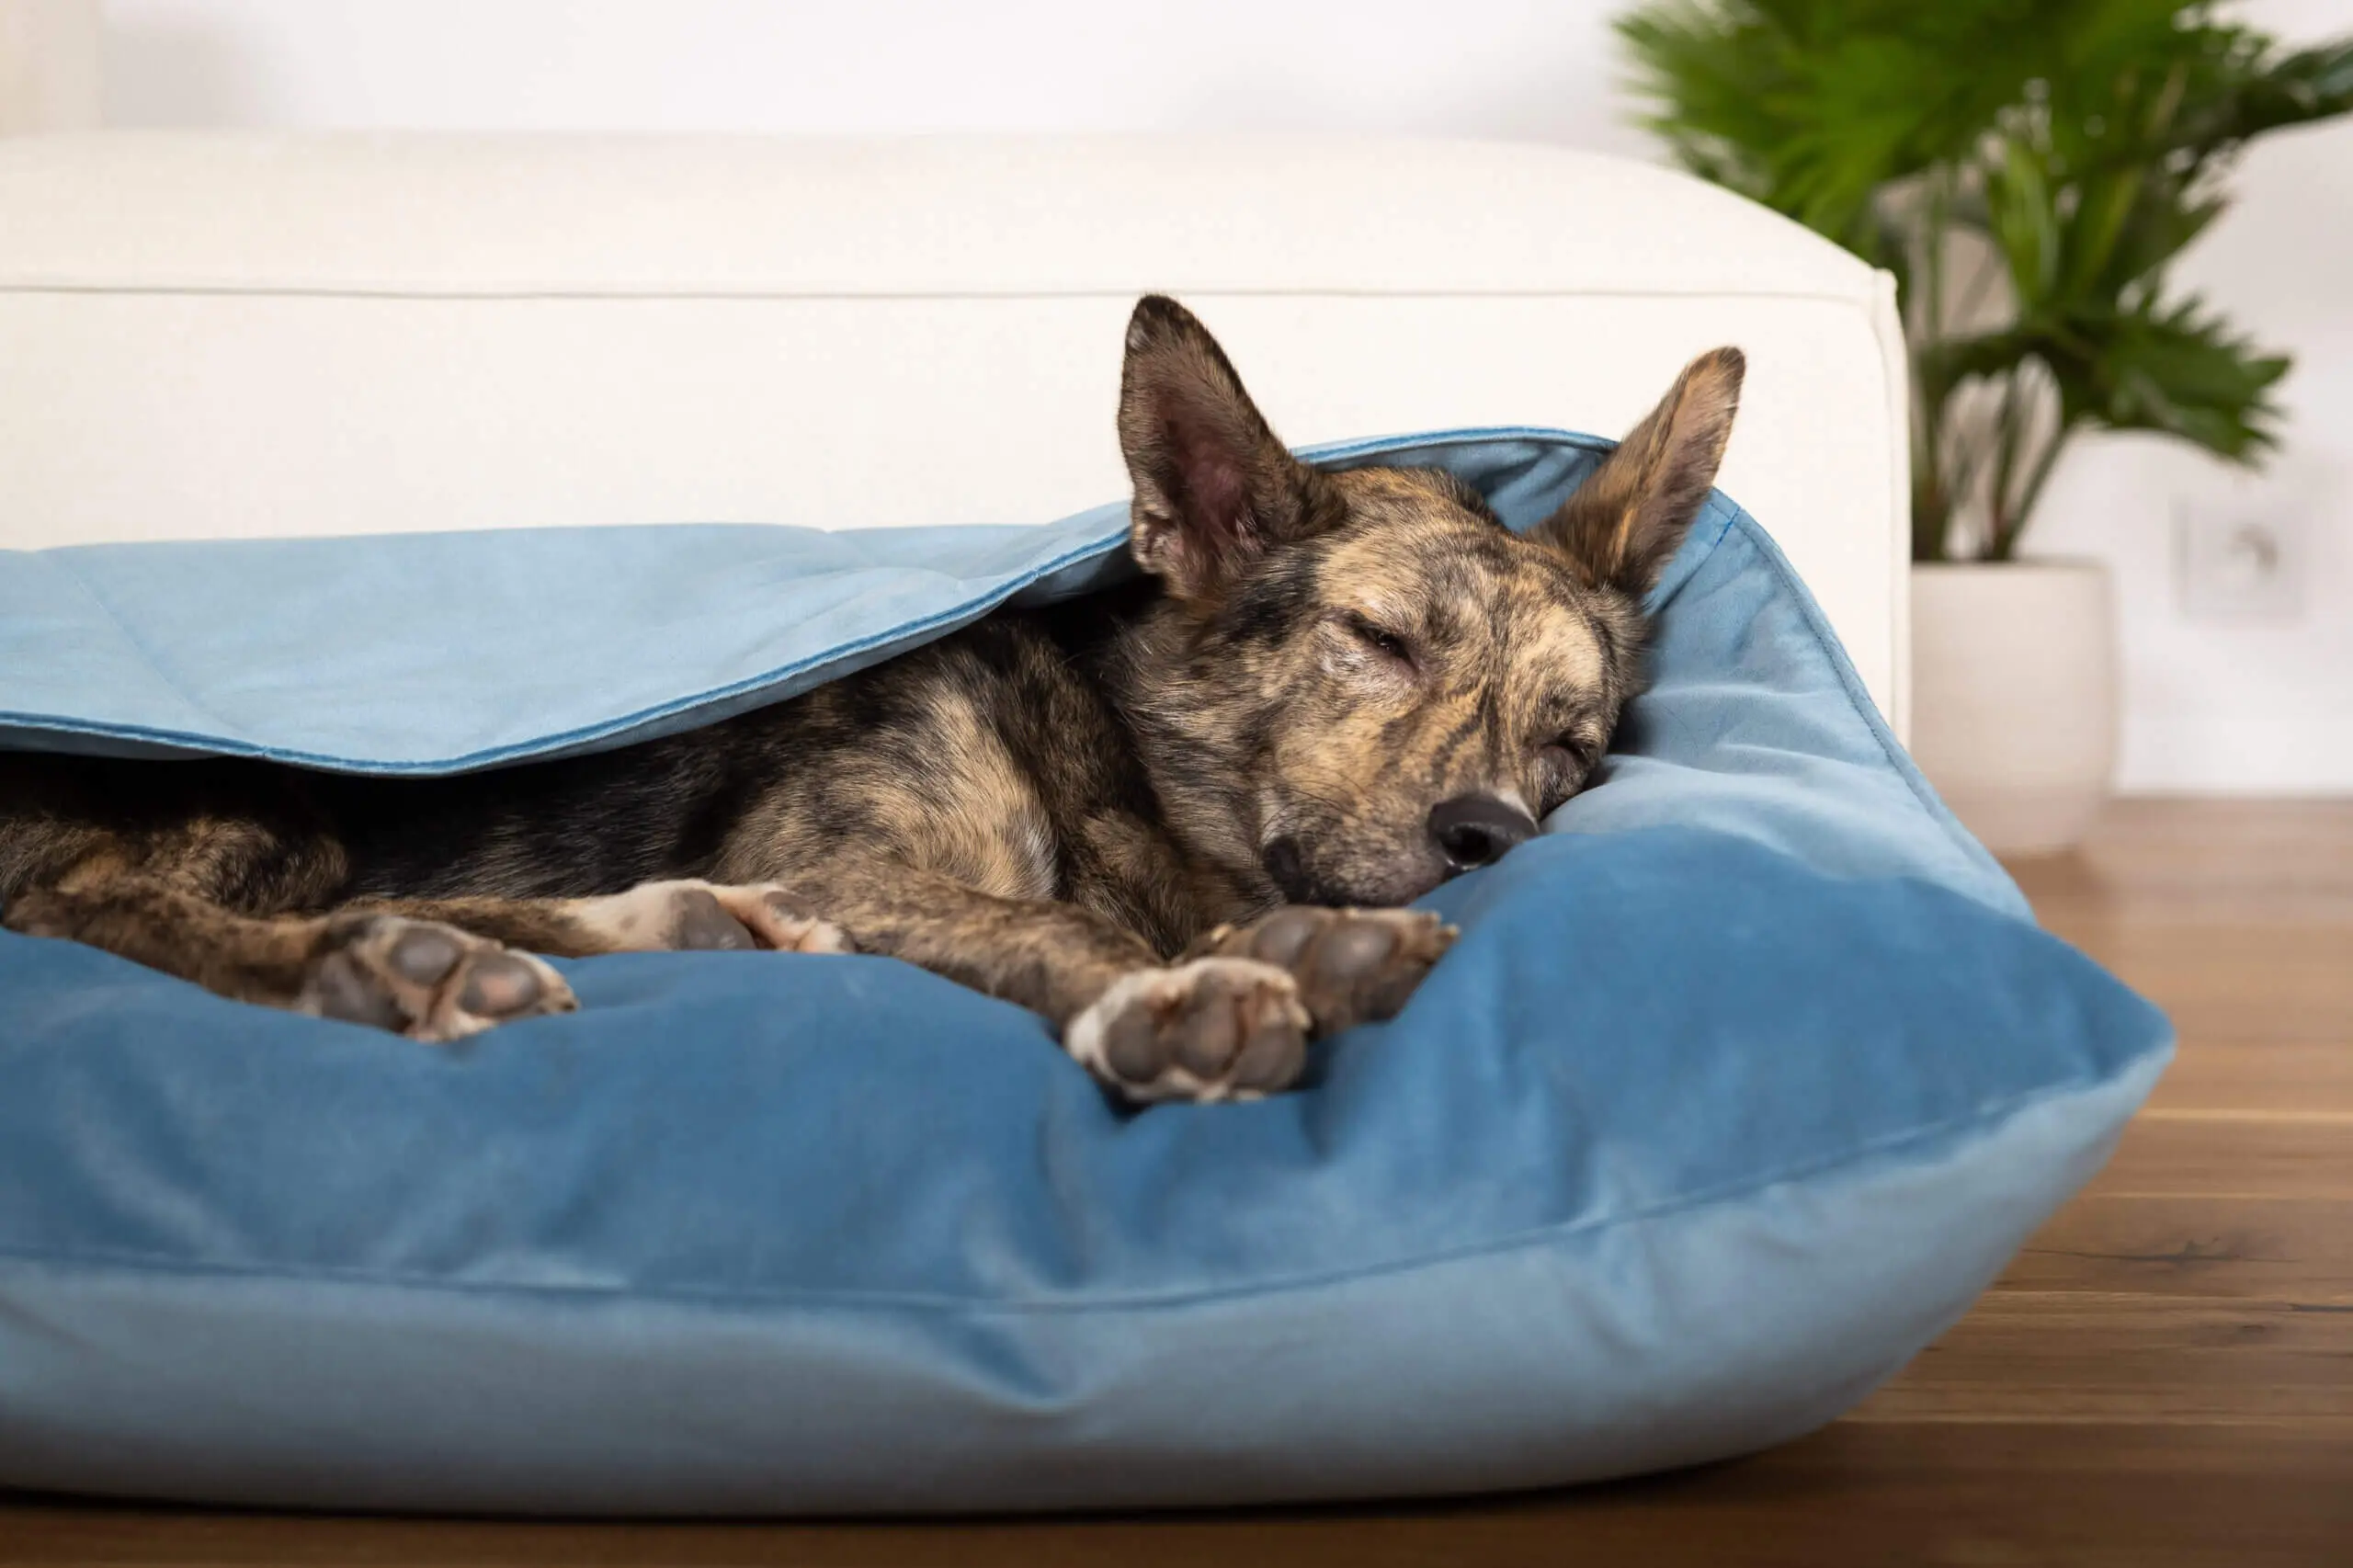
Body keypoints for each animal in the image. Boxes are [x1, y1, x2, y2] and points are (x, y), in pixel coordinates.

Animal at [0, 297, 1741, 1103]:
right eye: (1377, 640)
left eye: (1576, 745)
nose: (1492, 836)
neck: (1105, 772)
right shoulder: (841, 854)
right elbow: (1054, 928)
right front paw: (1170, 994)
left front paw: (1298, 949)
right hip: (260, 800)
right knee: (100, 912)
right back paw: (387, 970)